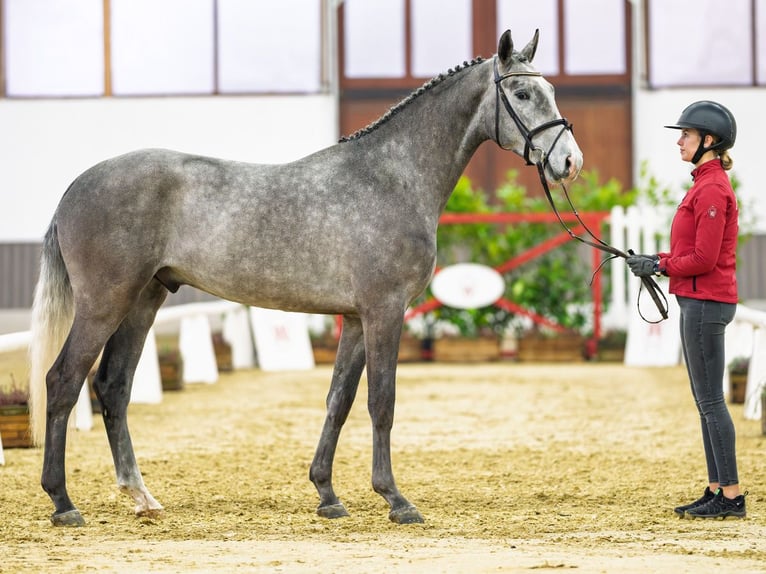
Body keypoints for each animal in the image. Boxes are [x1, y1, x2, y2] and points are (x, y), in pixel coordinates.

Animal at [28, 29, 584, 528]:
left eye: (552, 90)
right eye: (521, 93)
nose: (570, 161)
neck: (393, 177)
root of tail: (75, 187)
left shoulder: (356, 319)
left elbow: (339, 400)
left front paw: (327, 494)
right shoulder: (385, 311)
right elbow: (381, 401)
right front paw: (395, 499)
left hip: (144, 299)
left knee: (113, 386)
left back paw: (141, 497)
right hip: (105, 302)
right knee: (64, 381)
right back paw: (63, 503)